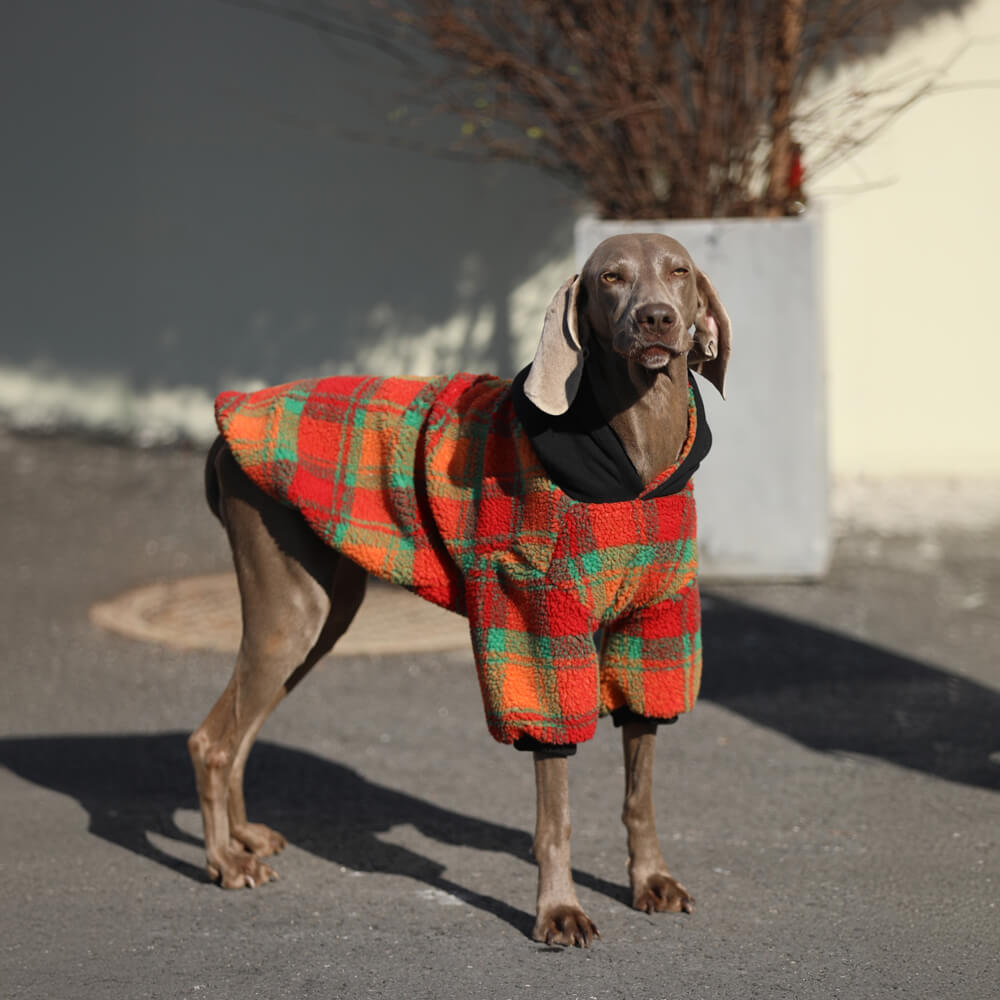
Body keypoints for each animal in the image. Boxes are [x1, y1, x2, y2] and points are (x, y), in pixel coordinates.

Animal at [189, 232, 736, 944]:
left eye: (679, 271)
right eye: (610, 277)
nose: (657, 320)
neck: (637, 457)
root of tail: (226, 425)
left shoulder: (654, 624)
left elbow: (638, 788)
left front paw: (651, 880)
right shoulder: (535, 628)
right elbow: (555, 810)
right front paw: (558, 911)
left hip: (324, 615)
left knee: (242, 731)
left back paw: (245, 838)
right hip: (290, 610)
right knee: (212, 740)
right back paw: (225, 861)